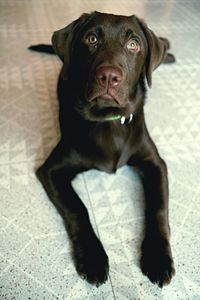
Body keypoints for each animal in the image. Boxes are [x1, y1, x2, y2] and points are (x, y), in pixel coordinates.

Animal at [29, 12, 175, 288]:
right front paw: (93, 258)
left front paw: (158, 258)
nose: (109, 76)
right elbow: (78, 209)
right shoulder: (52, 169)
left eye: (133, 44)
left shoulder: (155, 163)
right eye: (92, 39)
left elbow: (158, 208)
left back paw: (168, 49)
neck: (108, 120)